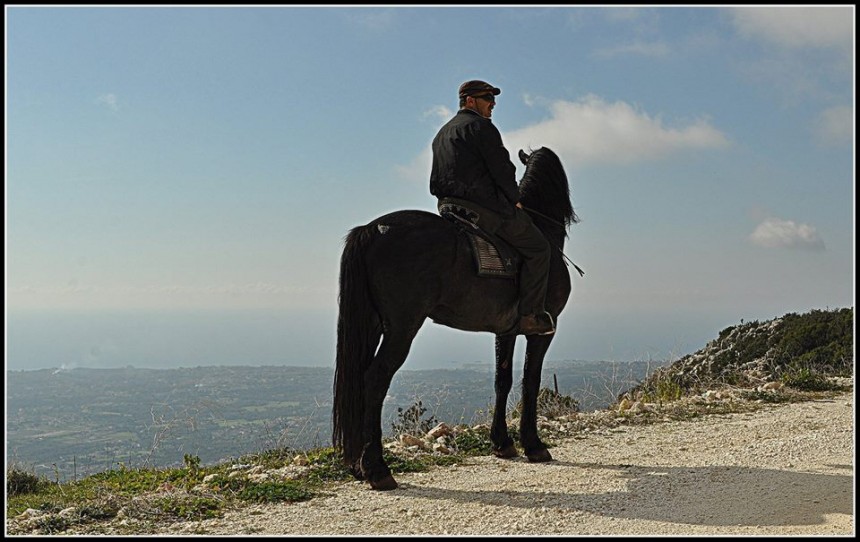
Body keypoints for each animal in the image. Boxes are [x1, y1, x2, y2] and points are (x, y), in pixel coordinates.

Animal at [332, 147, 580, 490]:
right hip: (402, 328)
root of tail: (372, 229)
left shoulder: (505, 331)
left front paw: (503, 444)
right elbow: (531, 380)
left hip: (369, 324)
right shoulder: (542, 330)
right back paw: (378, 470)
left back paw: (358, 466)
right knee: (375, 379)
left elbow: (502, 380)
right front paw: (534, 445)